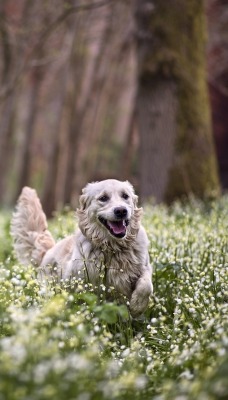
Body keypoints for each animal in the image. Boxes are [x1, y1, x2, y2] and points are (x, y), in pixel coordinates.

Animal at [11, 180, 153, 318]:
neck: (112, 247)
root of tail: (47, 252)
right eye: (103, 198)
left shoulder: (144, 267)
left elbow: (146, 285)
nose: (121, 210)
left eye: (125, 196)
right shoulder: (79, 279)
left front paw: (137, 306)